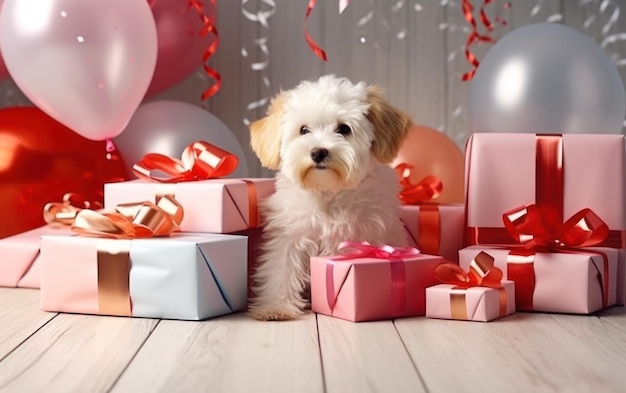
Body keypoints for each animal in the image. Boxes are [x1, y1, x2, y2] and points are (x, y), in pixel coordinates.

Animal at [246, 75, 412, 320]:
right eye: (303, 130)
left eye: (343, 128)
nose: (318, 152)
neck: (329, 191)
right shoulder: (290, 237)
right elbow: (281, 269)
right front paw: (275, 306)